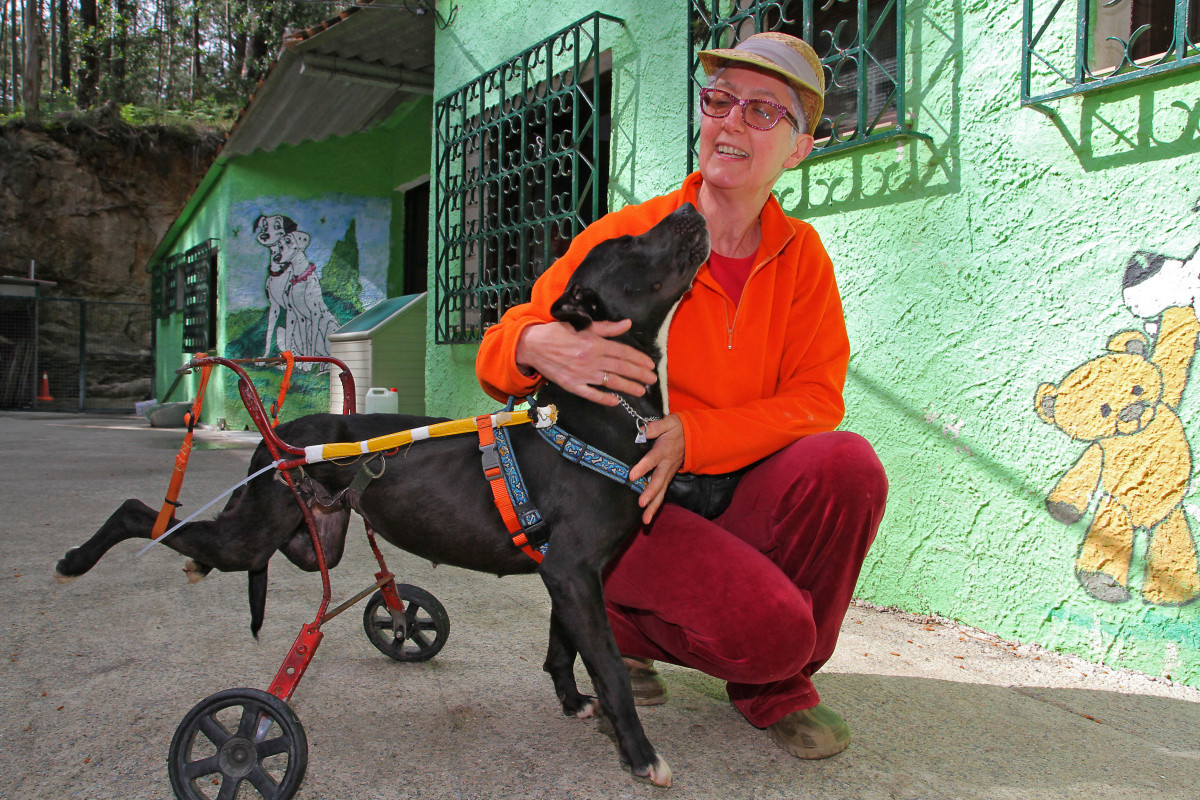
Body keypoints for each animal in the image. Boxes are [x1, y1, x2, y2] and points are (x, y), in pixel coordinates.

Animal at [56, 203, 705, 786]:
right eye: (628, 243)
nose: (691, 208)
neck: (599, 411)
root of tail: (278, 436)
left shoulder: (568, 574)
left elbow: (562, 646)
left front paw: (572, 702)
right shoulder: (572, 570)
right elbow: (610, 668)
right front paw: (640, 755)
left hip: (311, 538)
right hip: (252, 534)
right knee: (142, 513)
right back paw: (78, 560)